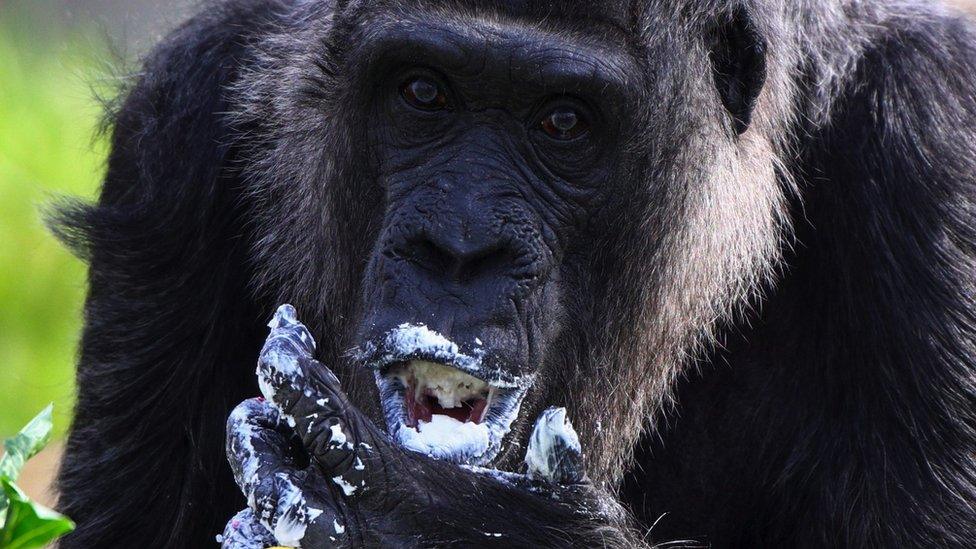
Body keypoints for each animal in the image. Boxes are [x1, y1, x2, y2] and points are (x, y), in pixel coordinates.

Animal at [55, 0, 976, 544]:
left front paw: (445, 523)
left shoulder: (934, 152)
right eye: (423, 92)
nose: (460, 245)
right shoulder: (172, 129)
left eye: (562, 121)